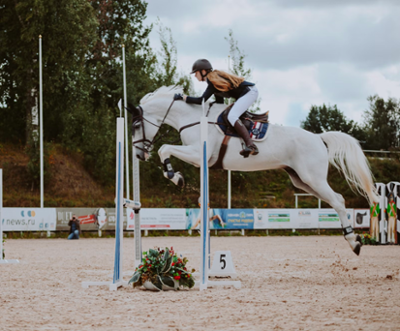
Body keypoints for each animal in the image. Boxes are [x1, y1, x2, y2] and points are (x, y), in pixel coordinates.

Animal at [128, 86, 378, 256]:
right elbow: (166, 151)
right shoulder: (199, 160)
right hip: (302, 181)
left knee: (338, 200)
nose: (139, 155)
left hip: (313, 178)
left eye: (137, 125)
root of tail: (318, 137)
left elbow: (164, 148)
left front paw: (175, 177)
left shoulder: (198, 154)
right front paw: (176, 176)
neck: (192, 118)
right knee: (335, 199)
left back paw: (354, 241)